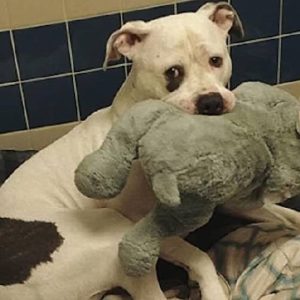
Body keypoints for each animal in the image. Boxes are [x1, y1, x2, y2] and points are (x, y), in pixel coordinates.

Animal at [0, 2, 244, 300]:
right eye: (173, 72)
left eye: (216, 60)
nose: (211, 102)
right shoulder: (146, 228)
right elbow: (198, 256)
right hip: (116, 236)